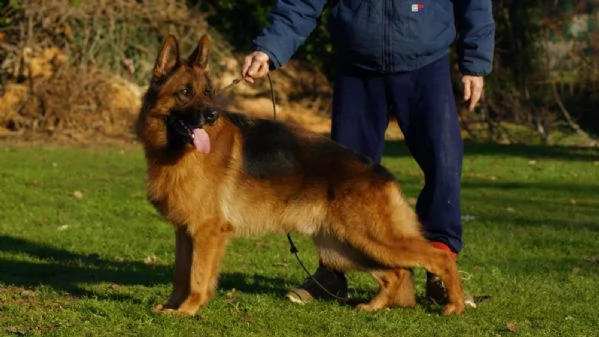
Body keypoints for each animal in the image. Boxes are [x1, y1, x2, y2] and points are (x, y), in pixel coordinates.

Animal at [137, 33, 468, 316]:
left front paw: (188, 309)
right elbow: (180, 273)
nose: (211, 115)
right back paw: (374, 306)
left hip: (372, 240)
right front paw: (171, 306)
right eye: (184, 93)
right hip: (345, 246)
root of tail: (381, 172)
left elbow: (196, 277)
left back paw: (455, 305)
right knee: (395, 273)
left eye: (208, 93)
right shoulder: (184, 231)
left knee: (438, 258)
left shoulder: (206, 233)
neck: (175, 150)